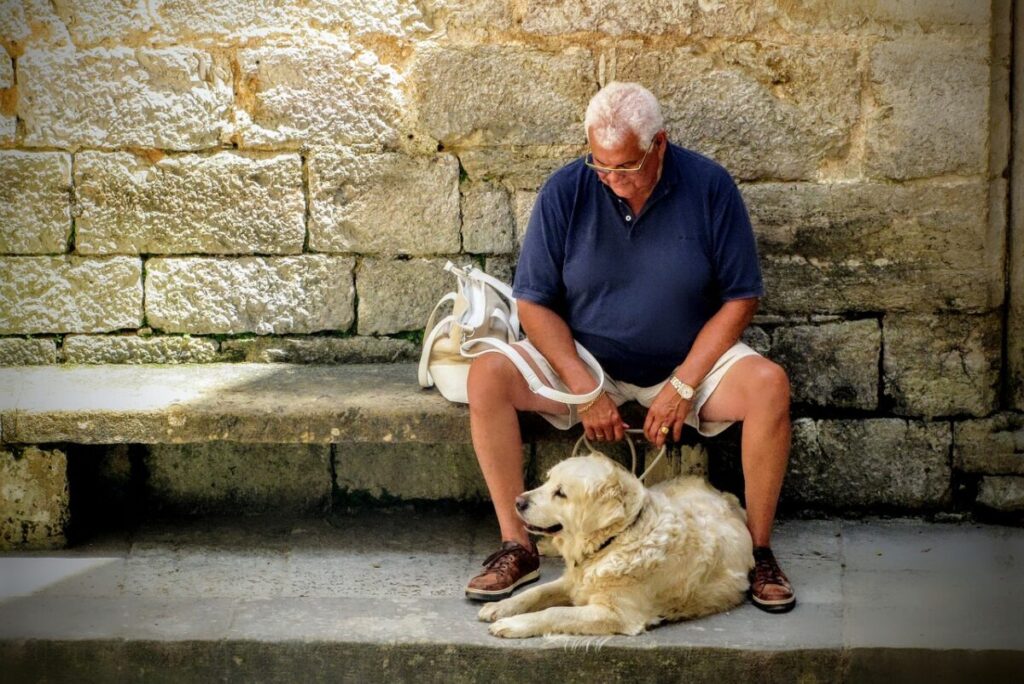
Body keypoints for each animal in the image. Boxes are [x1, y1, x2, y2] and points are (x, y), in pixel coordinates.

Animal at [477, 454, 753, 634]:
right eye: (547, 481)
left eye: (561, 493)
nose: (518, 501)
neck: (615, 540)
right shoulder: (573, 581)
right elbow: (535, 592)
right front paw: (500, 607)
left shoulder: (616, 614)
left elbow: (554, 612)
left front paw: (513, 624)